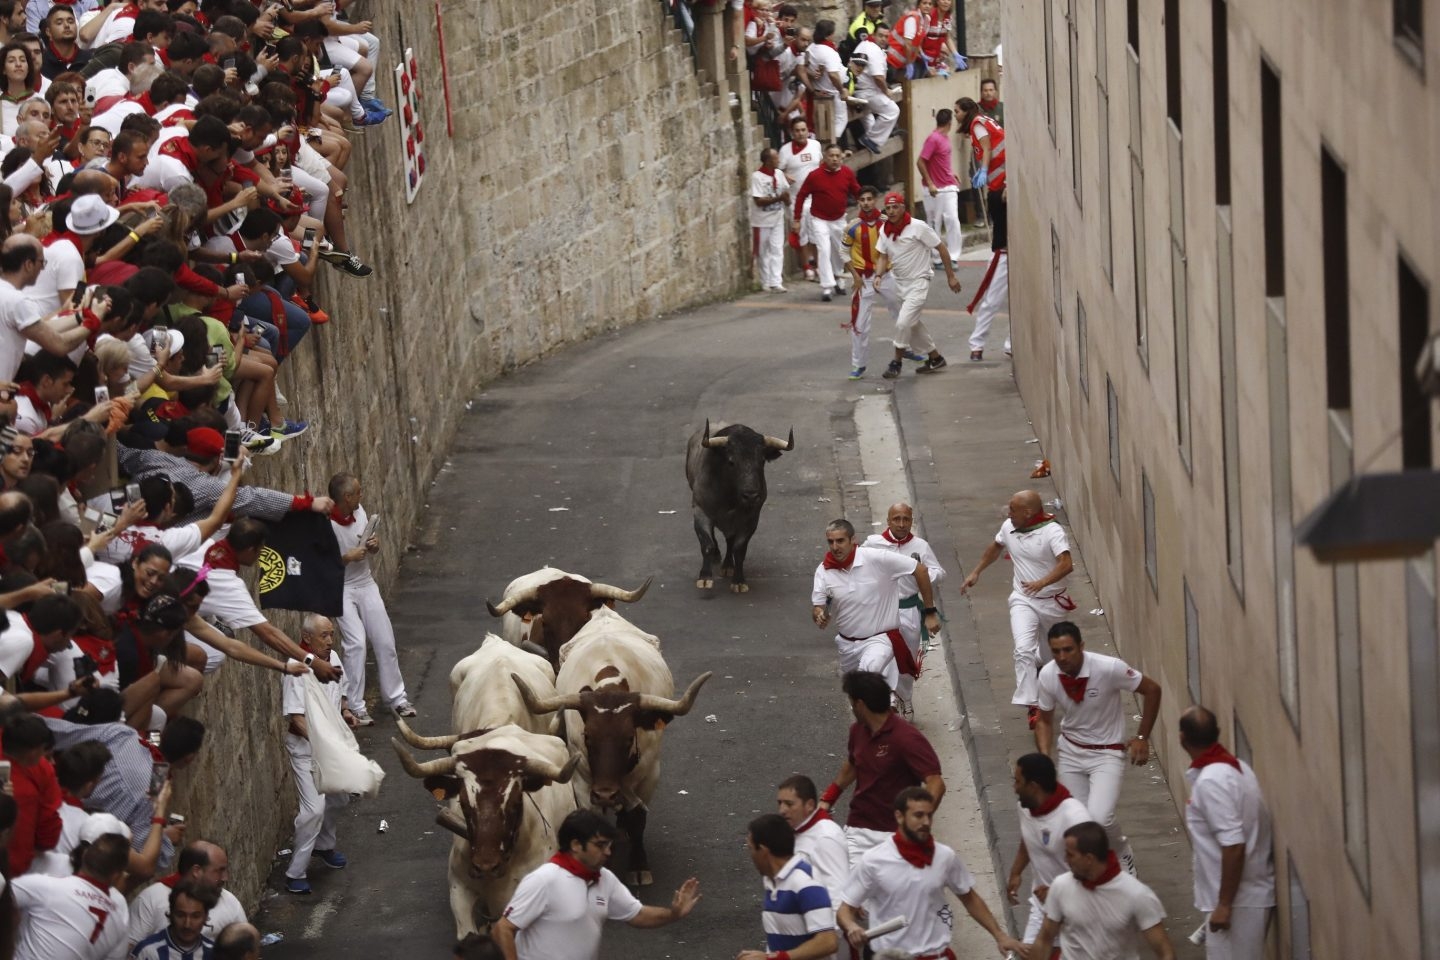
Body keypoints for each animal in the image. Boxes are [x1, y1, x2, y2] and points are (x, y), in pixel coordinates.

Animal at [512, 607, 708, 886]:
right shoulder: (582, 776)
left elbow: (638, 819)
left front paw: (638, 866)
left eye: (628, 738)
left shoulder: (650, 772)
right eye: (587, 736)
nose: (605, 794)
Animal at [682, 420, 794, 592]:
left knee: (730, 541)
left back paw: (728, 565)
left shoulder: (750, 518)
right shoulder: (700, 511)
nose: (751, 495)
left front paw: (739, 580)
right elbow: (707, 544)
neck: (729, 496)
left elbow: (739, 549)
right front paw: (705, 577)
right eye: (731, 462)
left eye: (762, 461)